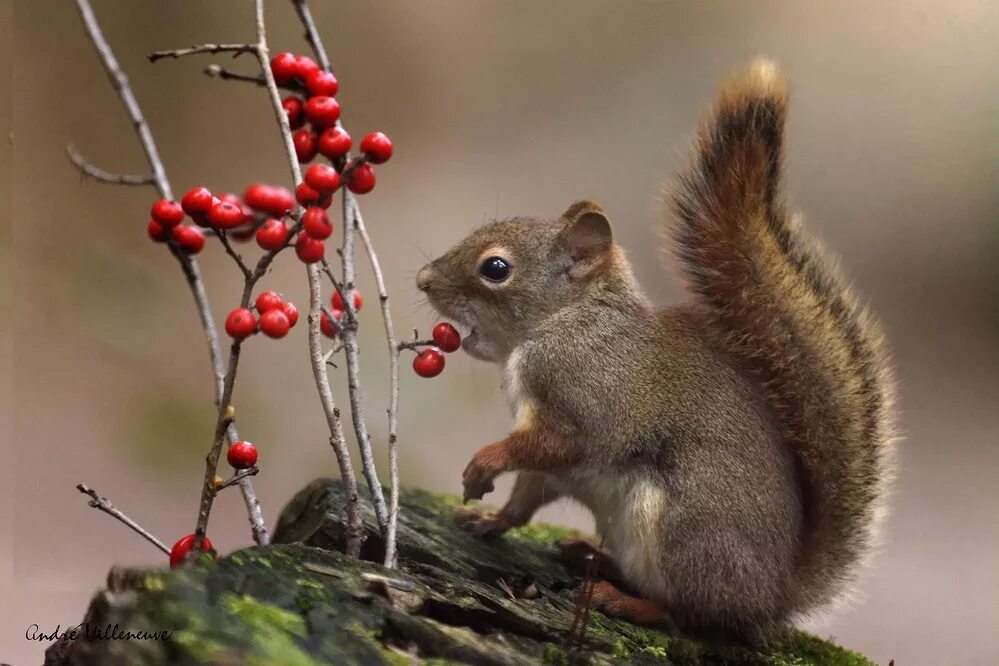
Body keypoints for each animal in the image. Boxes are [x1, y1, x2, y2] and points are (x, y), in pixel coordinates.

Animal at [414, 61, 900, 640]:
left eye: (495, 267)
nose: (421, 280)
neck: (565, 320)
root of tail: (774, 594)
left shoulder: (579, 398)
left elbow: (551, 445)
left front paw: (484, 462)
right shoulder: (547, 462)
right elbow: (526, 498)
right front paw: (489, 519)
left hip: (679, 527)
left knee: (693, 616)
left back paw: (625, 601)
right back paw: (589, 555)